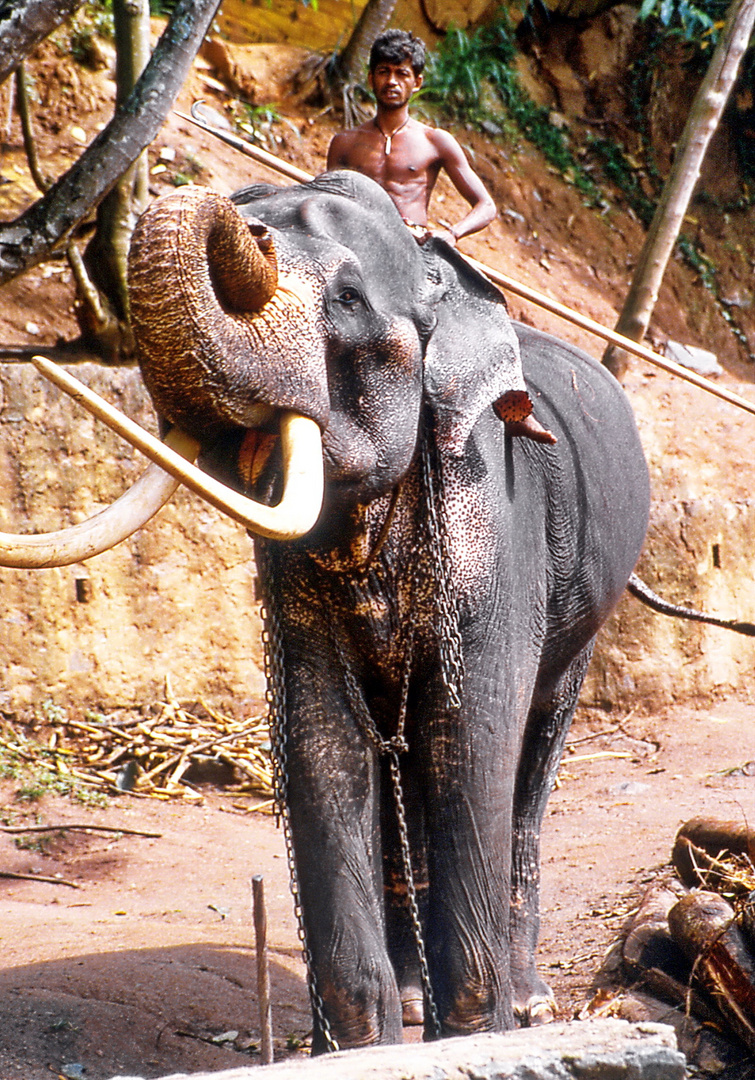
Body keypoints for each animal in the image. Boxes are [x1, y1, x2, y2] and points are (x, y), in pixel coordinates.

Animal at [0, 172, 648, 1049]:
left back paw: (527, 1006)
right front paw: (358, 1045)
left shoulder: (494, 521)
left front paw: (475, 1035)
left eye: (345, 298)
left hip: (584, 613)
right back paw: (411, 1002)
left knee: (529, 752)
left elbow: (470, 729)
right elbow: (322, 733)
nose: (244, 224)